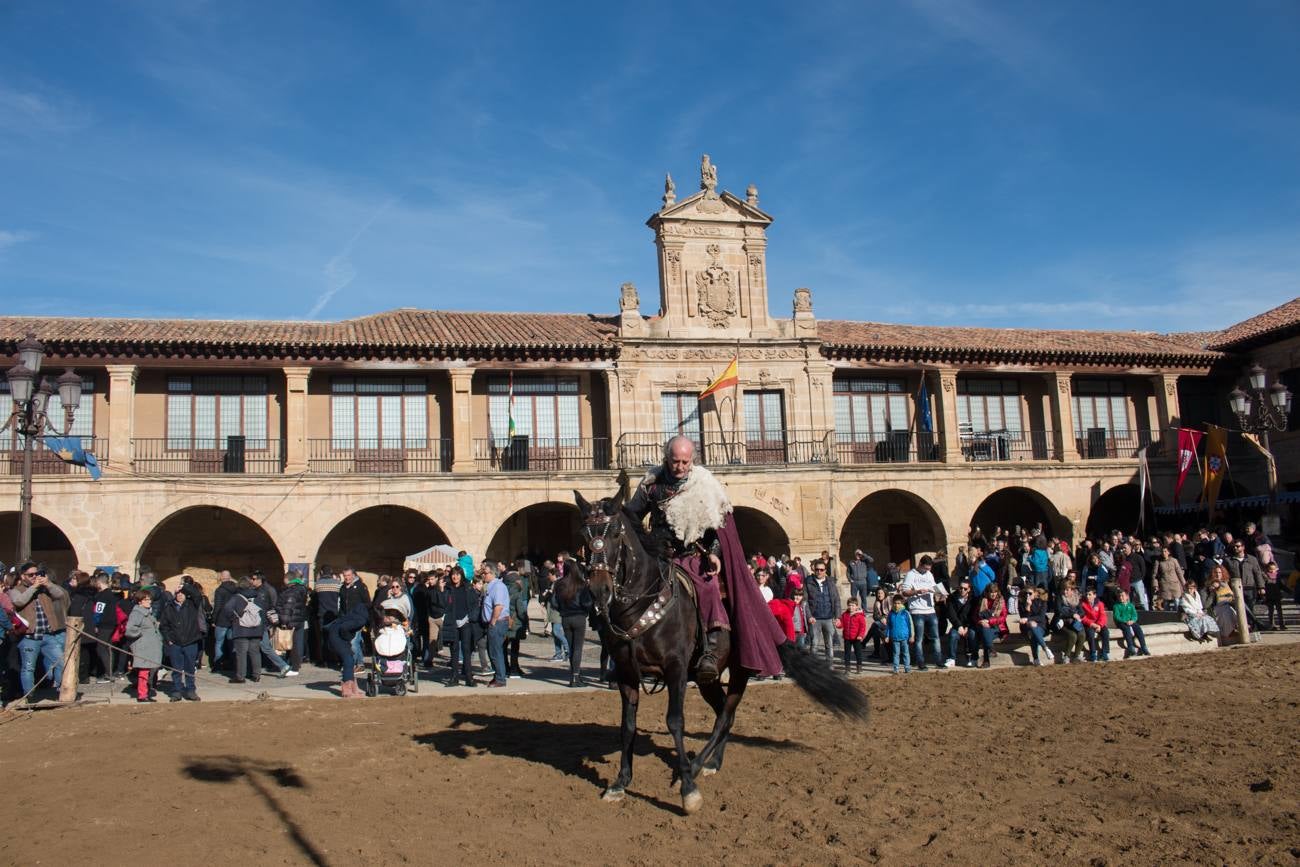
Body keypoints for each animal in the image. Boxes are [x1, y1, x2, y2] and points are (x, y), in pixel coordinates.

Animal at [577, 491, 863, 816]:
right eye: (584, 535)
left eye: (615, 533)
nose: (599, 591)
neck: (640, 605)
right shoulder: (626, 673)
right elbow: (627, 726)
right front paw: (620, 783)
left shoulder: (676, 669)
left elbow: (675, 721)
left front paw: (689, 790)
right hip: (706, 679)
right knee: (722, 713)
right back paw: (713, 762)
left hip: (740, 670)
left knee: (726, 714)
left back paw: (695, 767)